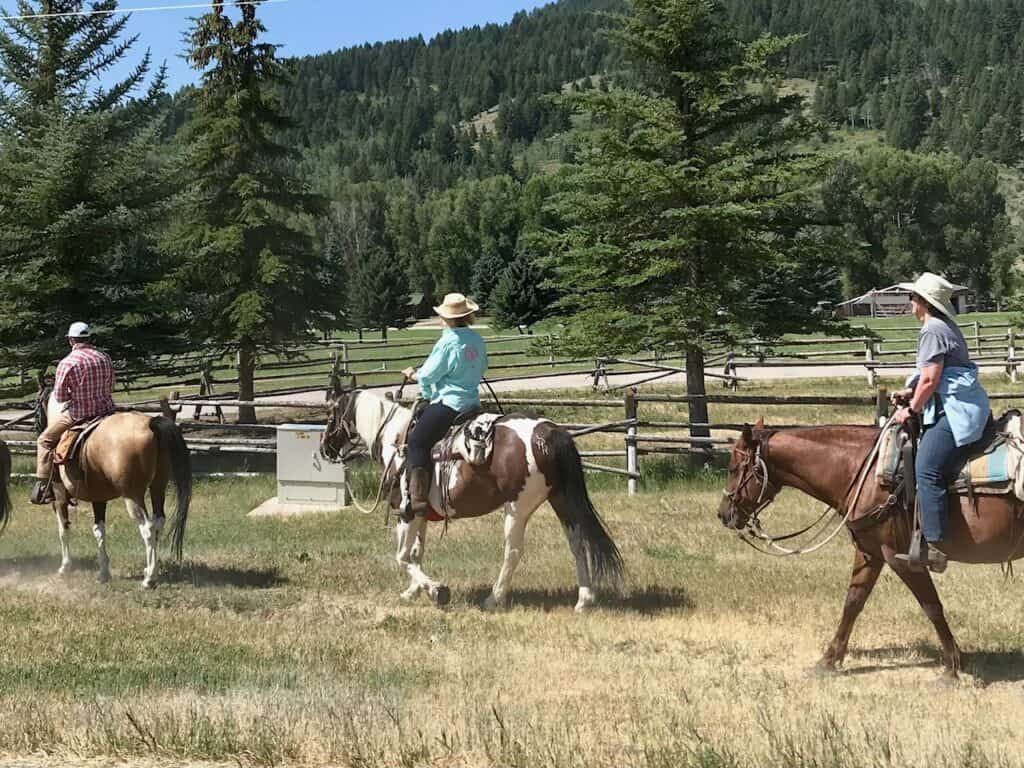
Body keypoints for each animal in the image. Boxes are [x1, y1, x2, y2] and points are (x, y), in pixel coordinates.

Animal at [35, 393, 192, 585]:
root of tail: (151, 424)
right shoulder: (98, 498)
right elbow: (99, 530)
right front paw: (103, 572)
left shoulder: (59, 496)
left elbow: (63, 530)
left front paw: (65, 567)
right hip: (158, 488)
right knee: (158, 523)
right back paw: (150, 570)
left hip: (132, 496)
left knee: (147, 529)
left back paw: (149, 579)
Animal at [319, 385, 622, 614]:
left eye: (330, 413)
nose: (324, 448)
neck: (395, 440)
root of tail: (547, 432)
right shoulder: (421, 513)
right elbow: (416, 553)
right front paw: (413, 591)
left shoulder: (405, 512)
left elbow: (402, 557)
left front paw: (437, 591)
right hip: (560, 499)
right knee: (577, 542)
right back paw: (584, 600)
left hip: (518, 508)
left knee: (512, 552)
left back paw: (494, 599)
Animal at [716, 421, 1024, 679]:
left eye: (734, 469)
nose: (723, 513)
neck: (863, 473)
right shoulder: (870, 553)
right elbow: (853, 601)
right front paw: (829, 660)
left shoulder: (901, 558)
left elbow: (931, 606)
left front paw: (952, 665)